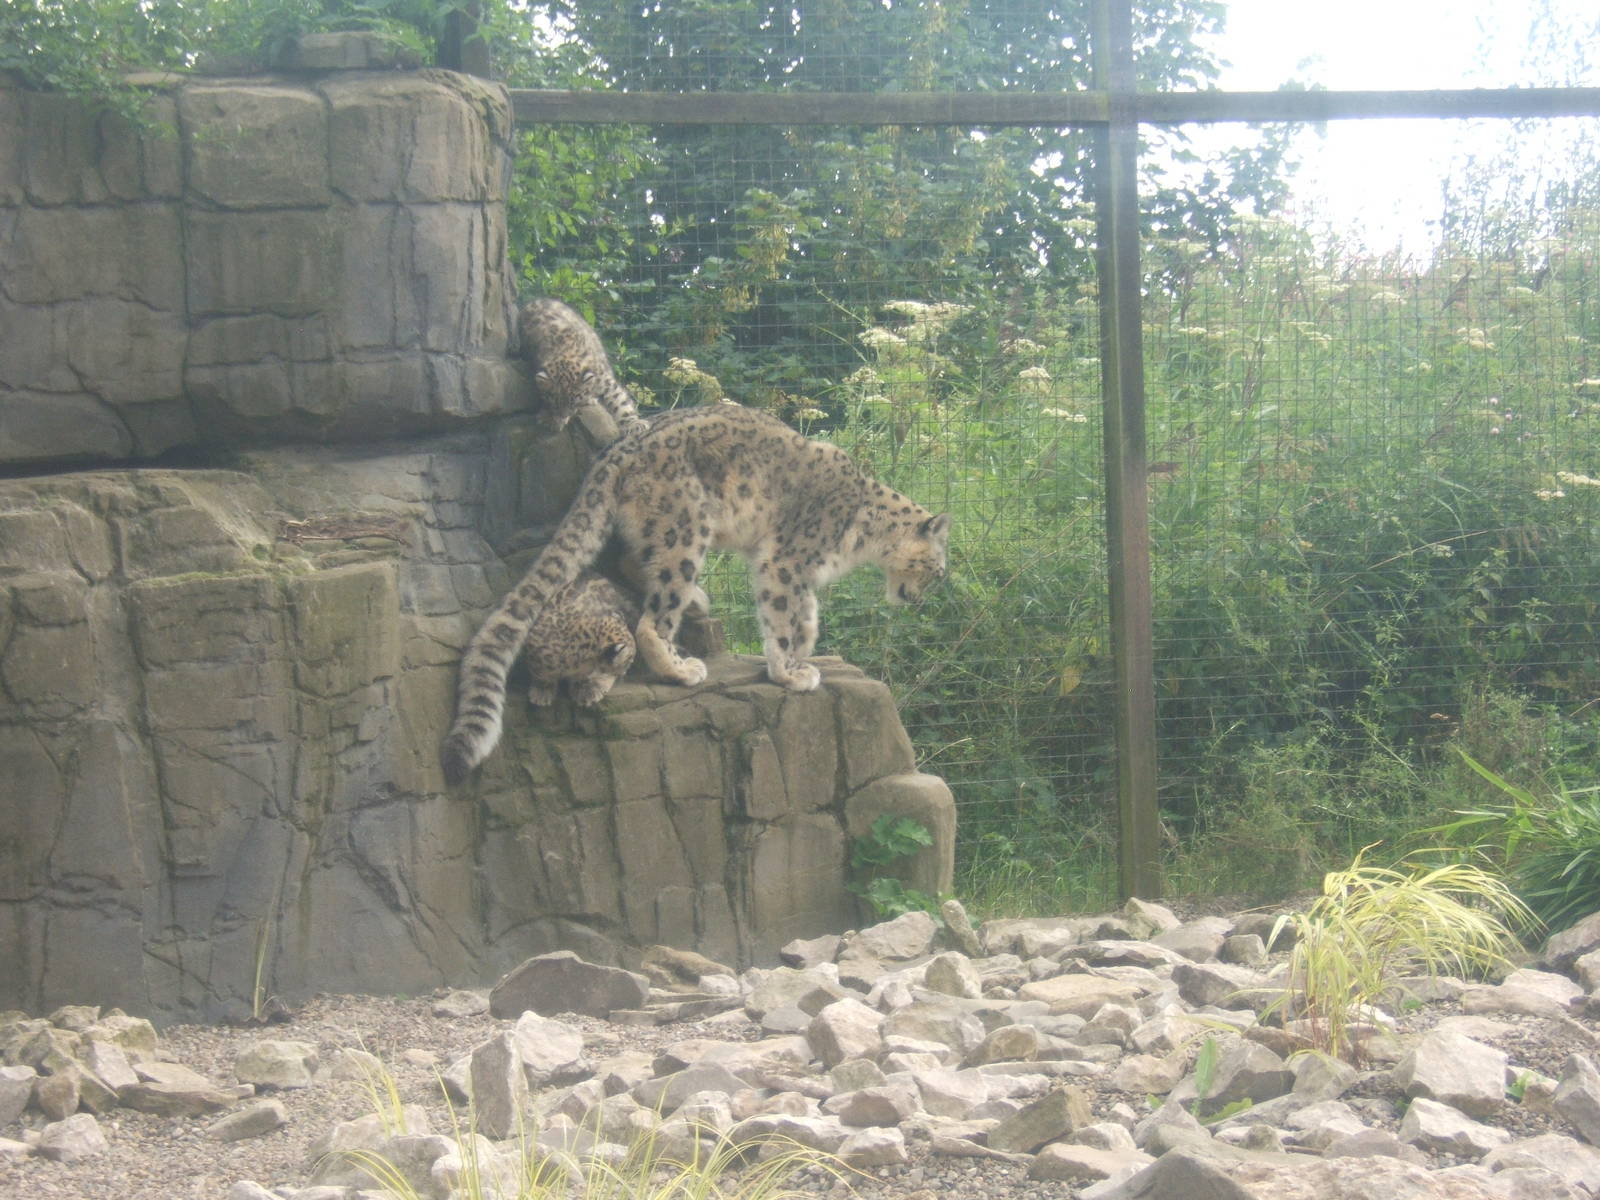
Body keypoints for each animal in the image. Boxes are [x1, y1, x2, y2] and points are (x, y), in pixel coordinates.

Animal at [441, 403, 951, 783]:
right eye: (938, 569)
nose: (921, 599)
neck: (862, 539)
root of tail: (621, 446)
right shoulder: (785, 562)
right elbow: (781, 616)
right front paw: (789, 673)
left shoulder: (795, 569)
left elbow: (805, 611)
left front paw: (805, 650)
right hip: (685, 530)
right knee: (652, 617)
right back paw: (682, 666)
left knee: (631, 564)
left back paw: (698, 602)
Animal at [517, 297, 647, 436]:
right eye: (553, 399)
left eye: (574, 400)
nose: (563, 415)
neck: (565, 352)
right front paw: (551, 418)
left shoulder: (606, 382)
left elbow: (619, 401)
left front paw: (634, 424)